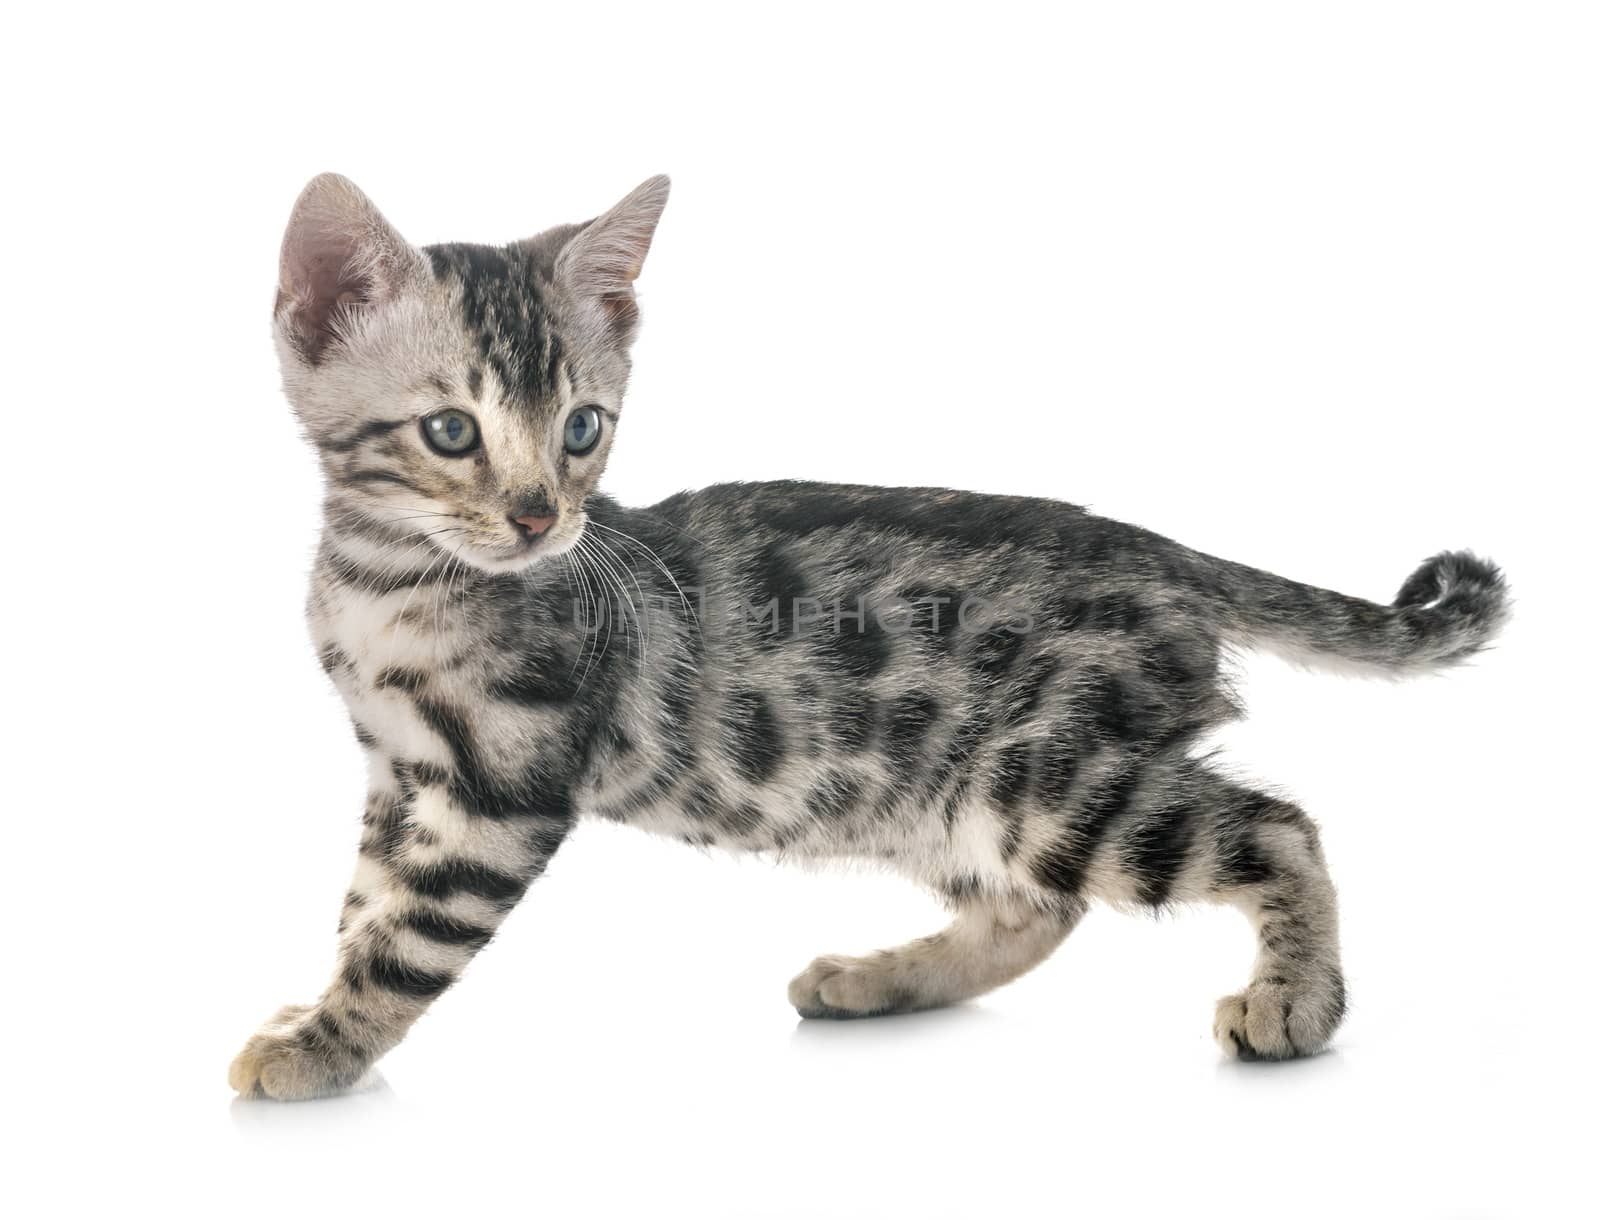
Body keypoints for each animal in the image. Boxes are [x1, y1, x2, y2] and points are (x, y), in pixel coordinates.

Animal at [232, 176, 1504, 1095]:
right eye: (451, 431)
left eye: (583, 427)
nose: (542, 515)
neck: (388, 583)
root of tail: (1158, 549)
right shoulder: (399, 776)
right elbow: (361, 904)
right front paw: (311, 1006)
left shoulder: (497, 790)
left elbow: (406, 935)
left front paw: (320, 1045)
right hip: (915, 786)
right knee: (1037, 905)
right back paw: (879, 979)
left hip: (1041, 776)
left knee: (1273, 828)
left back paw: (1296, 1000)